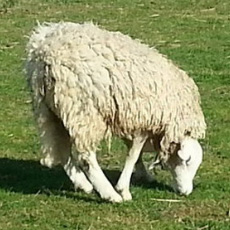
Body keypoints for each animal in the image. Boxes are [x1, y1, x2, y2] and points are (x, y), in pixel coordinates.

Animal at [25, 21, 207, 201]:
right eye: (188, 161)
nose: (186, 192)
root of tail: (45, 53)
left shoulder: (130, 118)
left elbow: (134, 151)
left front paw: (143, 175)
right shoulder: (143, 119)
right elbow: (133, 154)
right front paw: (123, 189)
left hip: (48, 110)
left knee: (61, 148)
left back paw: (83, 184)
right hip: (83, 110)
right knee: (86, 157)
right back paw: (109, 194)